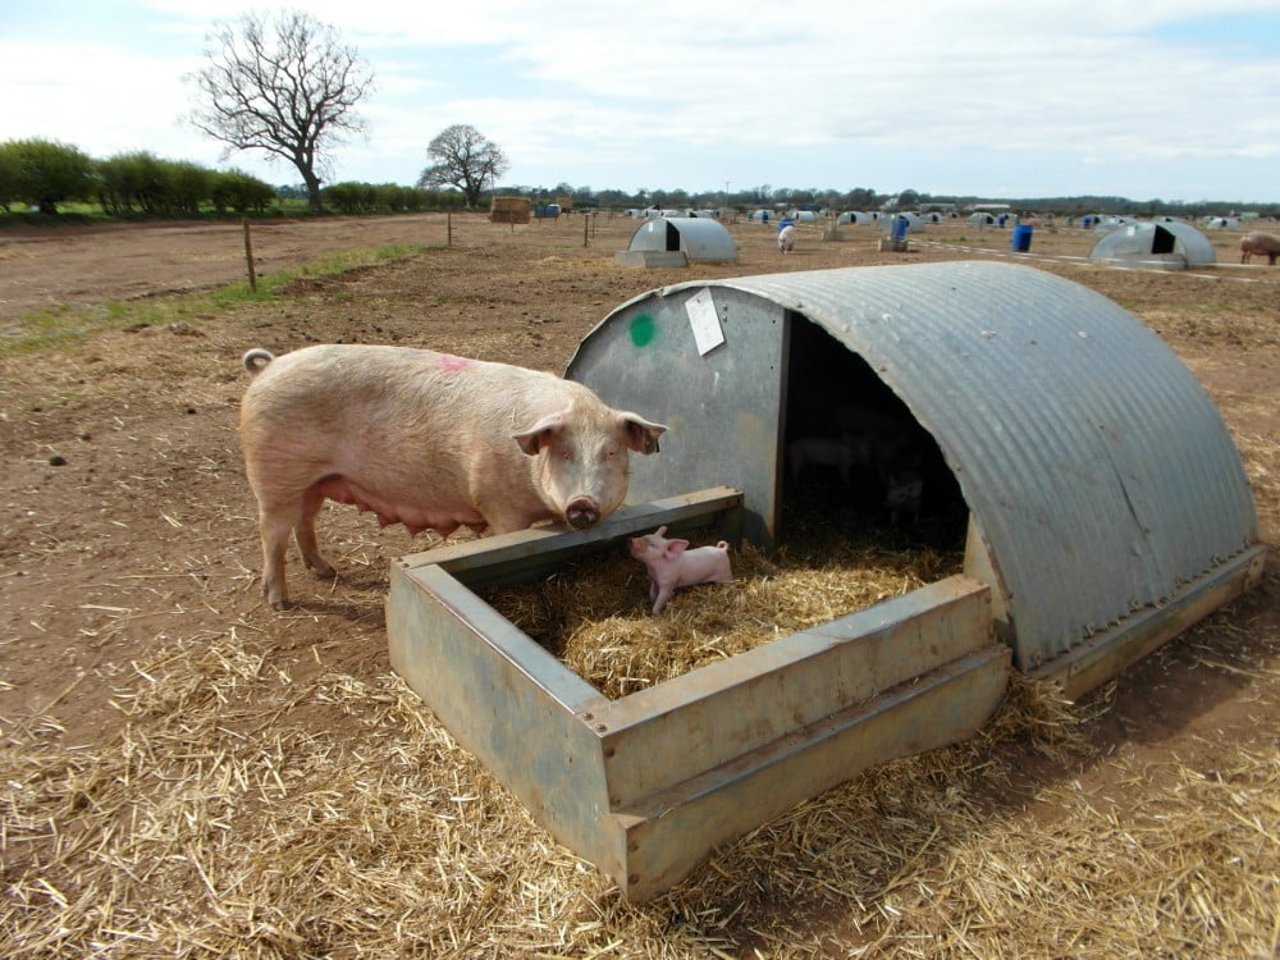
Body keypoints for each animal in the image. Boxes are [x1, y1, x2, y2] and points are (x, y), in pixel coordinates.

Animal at [236, 345, 670, 609]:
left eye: (610, 452)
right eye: (563, 453)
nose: (582, 504)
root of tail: (269, 366)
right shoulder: (499, 505)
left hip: (313, 481)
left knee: (304, 521)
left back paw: (326, 571)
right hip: (273, 473)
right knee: (271, 533)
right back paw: (279, 602)